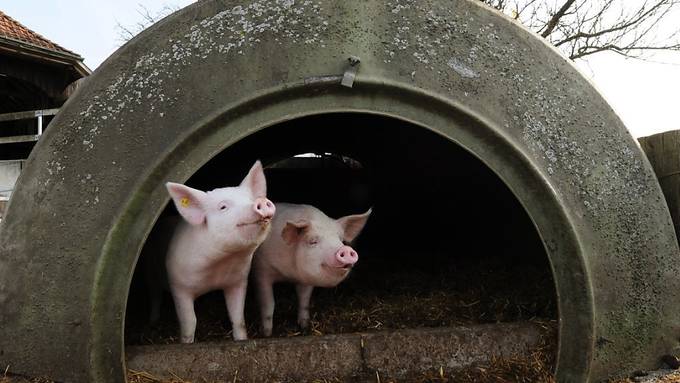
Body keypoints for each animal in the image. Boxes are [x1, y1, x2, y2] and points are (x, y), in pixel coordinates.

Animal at [154, 160, 274, 344]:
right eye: (223, 207)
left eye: (250, 199)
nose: (261, 201)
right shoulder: (178, 286)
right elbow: (190, 322)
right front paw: (186, 343)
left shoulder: (238, 281)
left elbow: (238, 317)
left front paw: (241, 339)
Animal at [252, 204, 372, 336]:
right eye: (312, 241)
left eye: (340, 240)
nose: (345, 249)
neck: (289, 274)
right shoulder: (261, 271)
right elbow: (268, 304)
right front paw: (267, 334)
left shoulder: (306, 279)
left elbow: (304, 300)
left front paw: (305, 328)